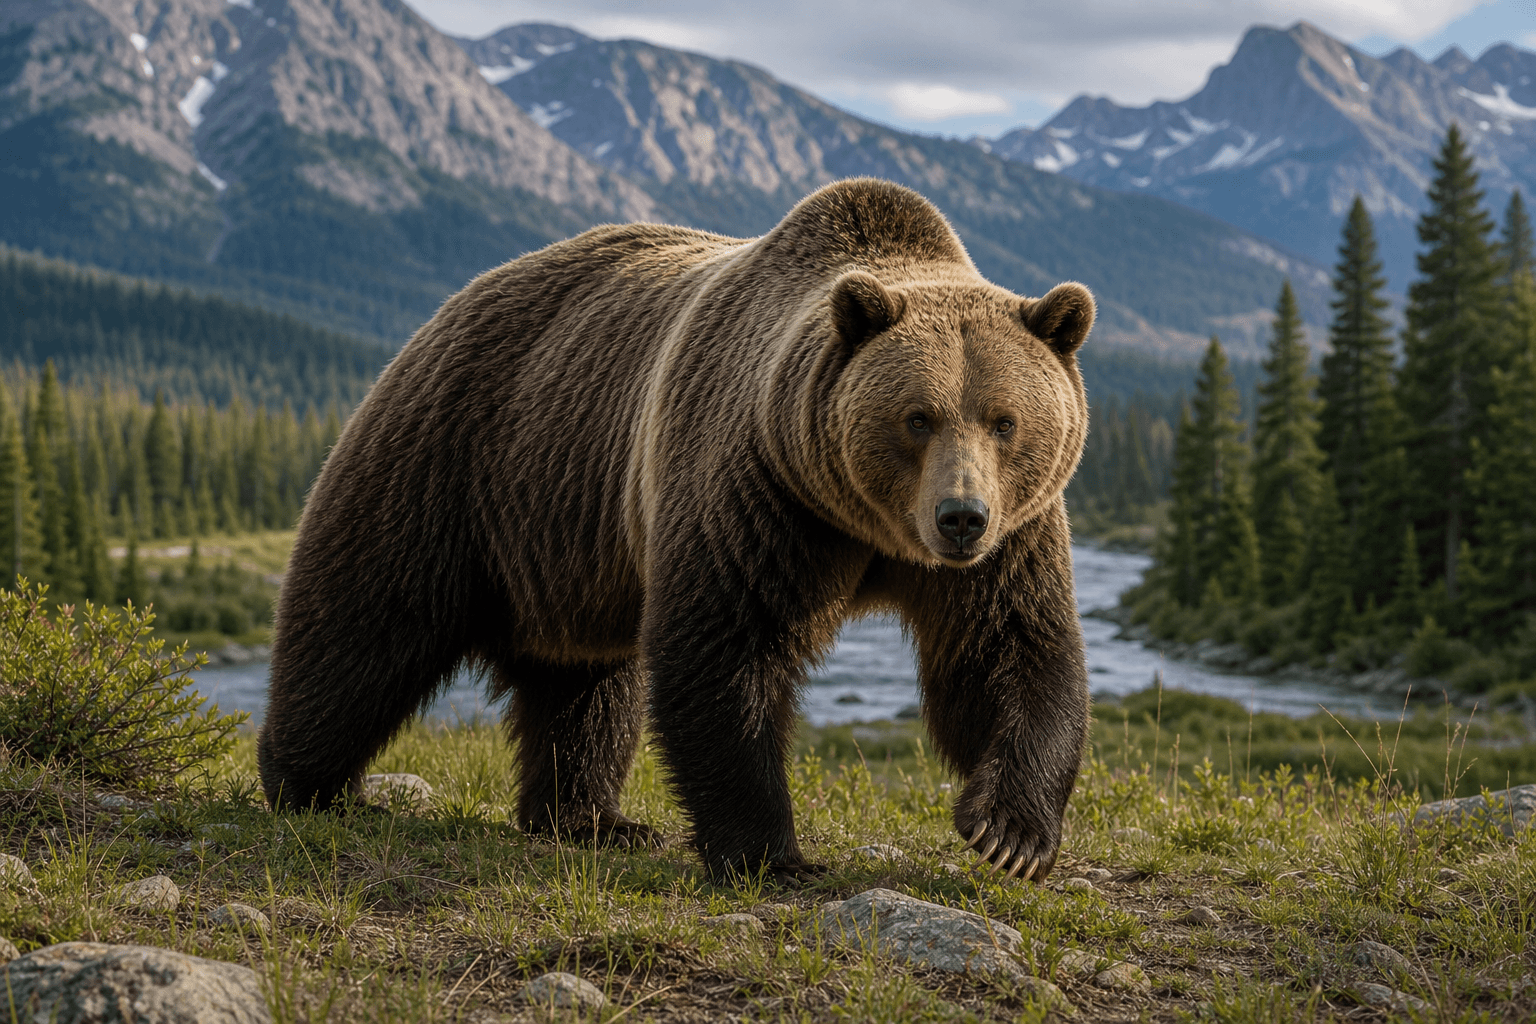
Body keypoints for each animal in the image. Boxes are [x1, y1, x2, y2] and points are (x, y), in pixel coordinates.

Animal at [257, 177, 1093, 883]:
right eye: (917, 417)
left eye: (1005, 420)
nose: (960, 518)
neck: (869, 529)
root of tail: (458, 300)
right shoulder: (758, 489)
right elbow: (727, 645)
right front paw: (768, 852)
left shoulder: (1013, 538)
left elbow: (1008, 650)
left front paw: (1009, 833)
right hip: (451, 462)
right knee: (364, 624)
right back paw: (306, 782)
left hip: (571, 543)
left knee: (588, 683)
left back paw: (589, 818)